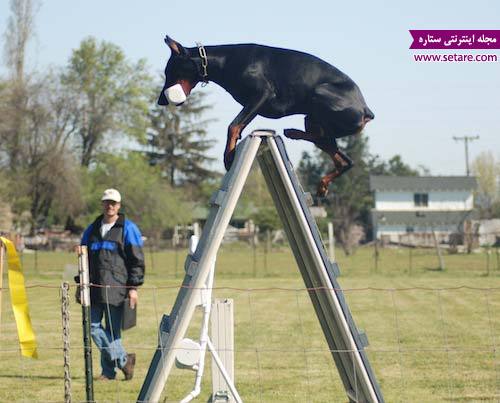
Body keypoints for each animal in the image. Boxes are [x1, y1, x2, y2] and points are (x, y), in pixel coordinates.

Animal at [158, 36, 374, 197]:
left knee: (326, 143)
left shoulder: (262, 95)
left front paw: (228, 156)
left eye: (170, 72)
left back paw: (292, 132)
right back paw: (322, 183)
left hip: (319, 95)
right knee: (343, 160)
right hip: (314, 120)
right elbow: (238, 125)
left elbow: (233, 125)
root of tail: (365, 109)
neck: (225, 61)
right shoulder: (253, 104)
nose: (160, 101)